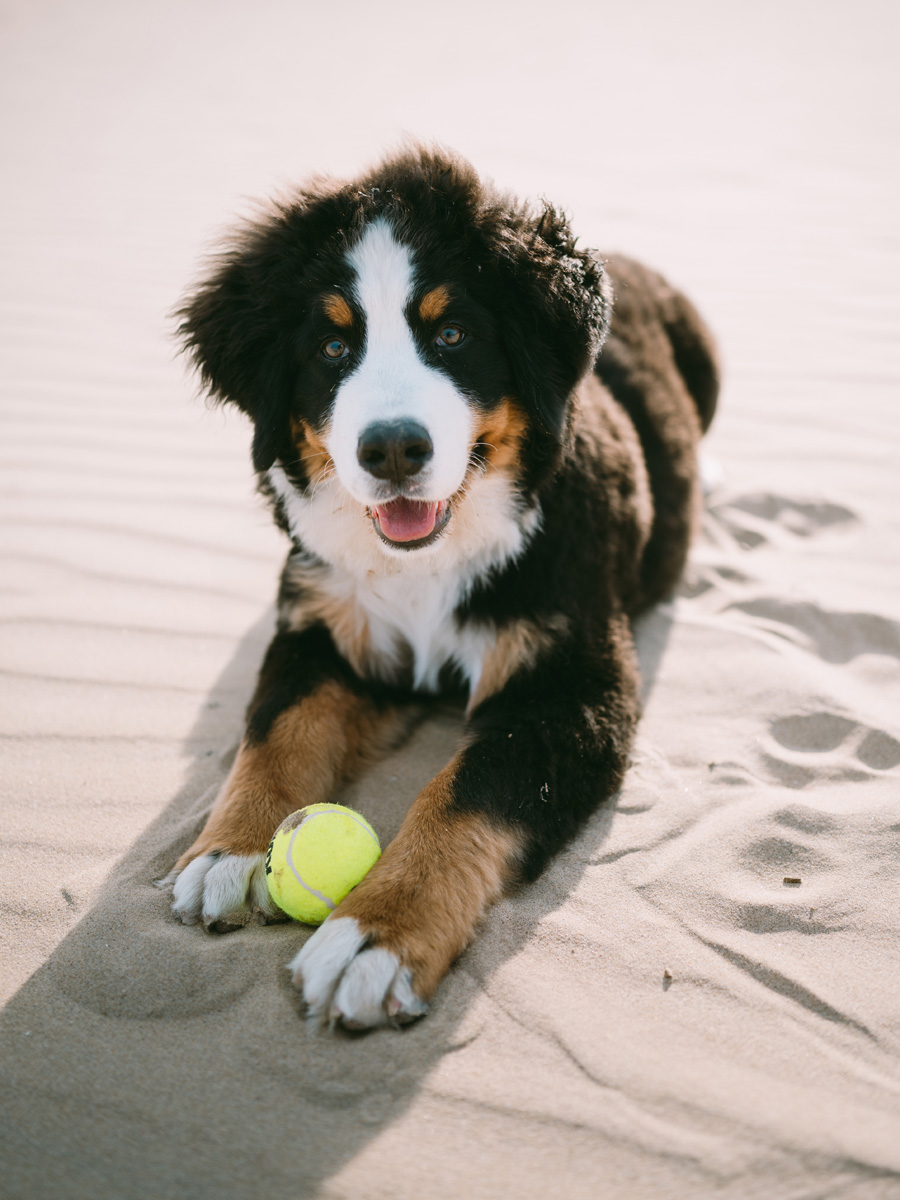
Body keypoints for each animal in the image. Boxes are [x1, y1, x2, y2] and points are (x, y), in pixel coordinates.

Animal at [168, 145, 720, 1032]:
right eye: (332, 348)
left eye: (453, 333)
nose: (393, 449)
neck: (427, 562)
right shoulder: (321, 626)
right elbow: (275, 731)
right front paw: (230, 850)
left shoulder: (568, 687)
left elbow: (464, 794)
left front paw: (375, 934)